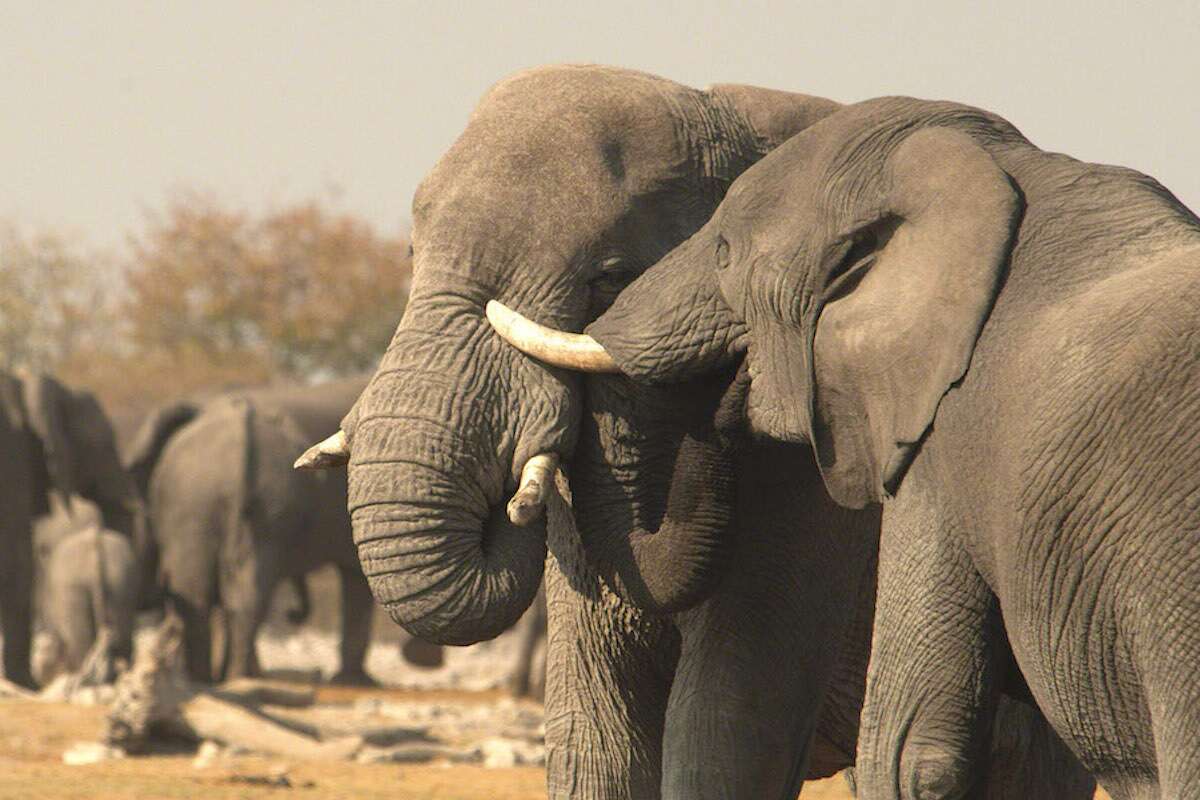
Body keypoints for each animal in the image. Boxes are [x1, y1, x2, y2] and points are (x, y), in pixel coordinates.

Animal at [298, 66, 1091, 798]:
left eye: (609, 278)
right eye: (411, 258)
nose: (726, 396)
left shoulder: (812, 473)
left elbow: (730, 719)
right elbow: (598, 734)